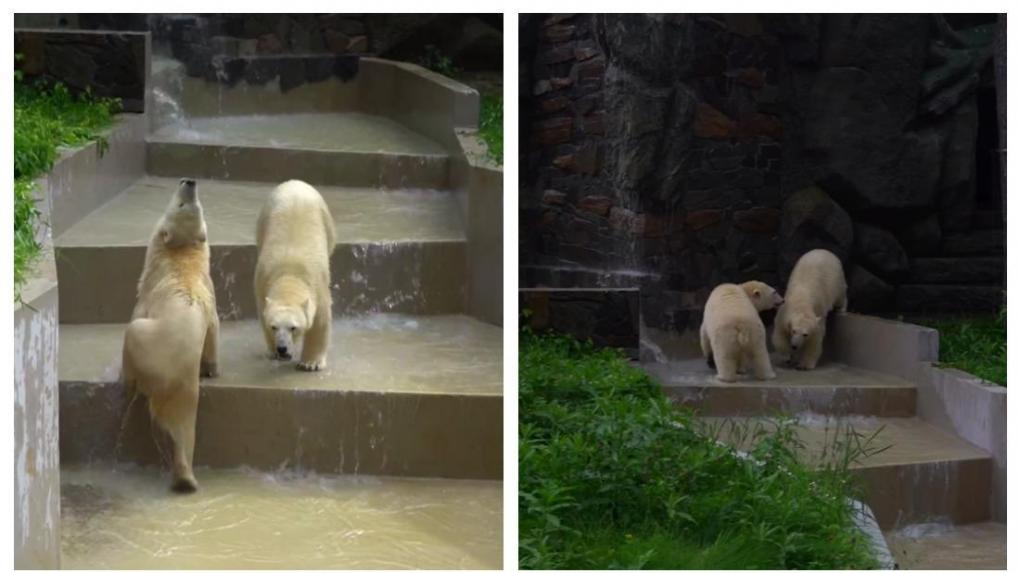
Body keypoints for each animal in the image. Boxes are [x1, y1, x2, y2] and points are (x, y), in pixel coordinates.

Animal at [122, 178, 220, 491]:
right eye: (186, 203)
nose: (190, 181)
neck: (181, 257)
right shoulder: (209, 290)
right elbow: (214, 327)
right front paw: (213, 369)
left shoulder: (148, 291)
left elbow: (136, 312)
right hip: (186, 389)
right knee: (184, 426)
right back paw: (185, 478)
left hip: (146, 344)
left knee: (131, 336)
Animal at [253, 178, 336, 371]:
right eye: (274, 327)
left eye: (293, 327)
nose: (282, 348)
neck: (290, 276)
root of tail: (295, 182)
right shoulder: (262, 281)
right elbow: (262, 313)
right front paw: (272, 351)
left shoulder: (317, 286)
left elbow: (320, 321)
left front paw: (310, 363)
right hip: (264, 217)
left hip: (325, 218)